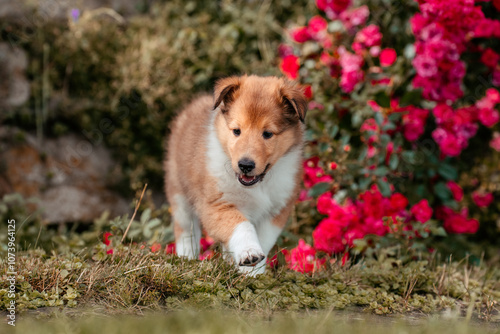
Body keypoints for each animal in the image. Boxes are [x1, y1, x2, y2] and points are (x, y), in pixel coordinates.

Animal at [165, 75, 304, 274]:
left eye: (268, 134)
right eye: (236, 131)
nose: (245, 165)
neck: (257, 185)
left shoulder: (276, 211)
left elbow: (263, 241)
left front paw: (253, 273)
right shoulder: (216, 205)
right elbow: (242, 226)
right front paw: (249, 253)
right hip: (179, 194)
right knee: (186, 231)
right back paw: (186, 258)